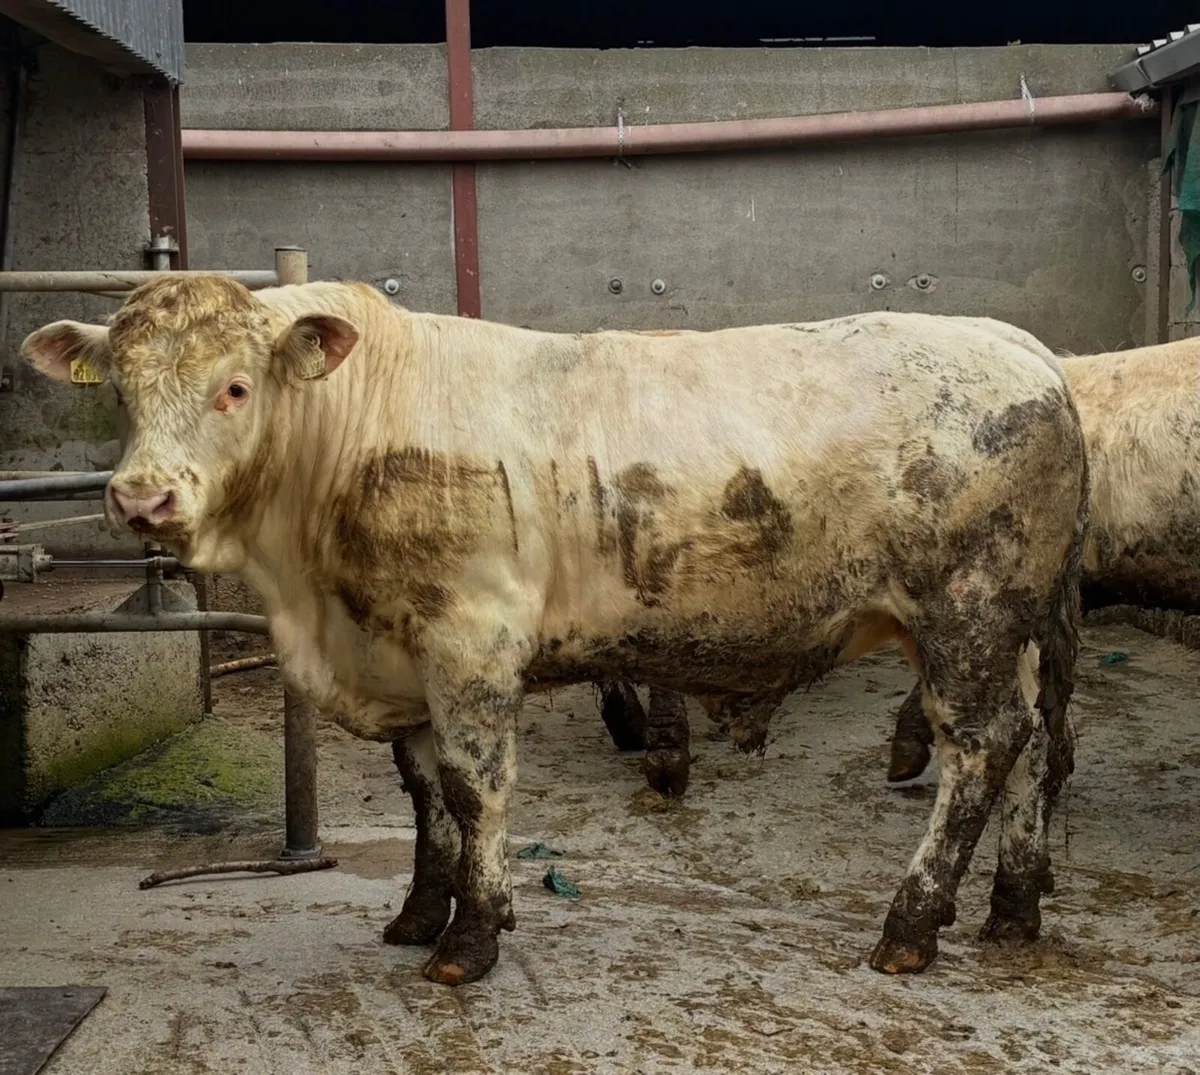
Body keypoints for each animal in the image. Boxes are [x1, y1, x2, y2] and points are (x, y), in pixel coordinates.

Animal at [21, 277, 1088, 986]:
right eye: (119, 389)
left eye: (236, 387)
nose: (141, 497)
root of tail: (1021, 347)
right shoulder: (405, 656)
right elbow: (424, 795)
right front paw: (422, 910)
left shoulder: (470, 644)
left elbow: (474, 788)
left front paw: (471, 936)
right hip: (1022, 625)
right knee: (1037, 743)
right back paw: (1013, 906)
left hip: (967, 613)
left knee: (982, 747)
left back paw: (912, 923)